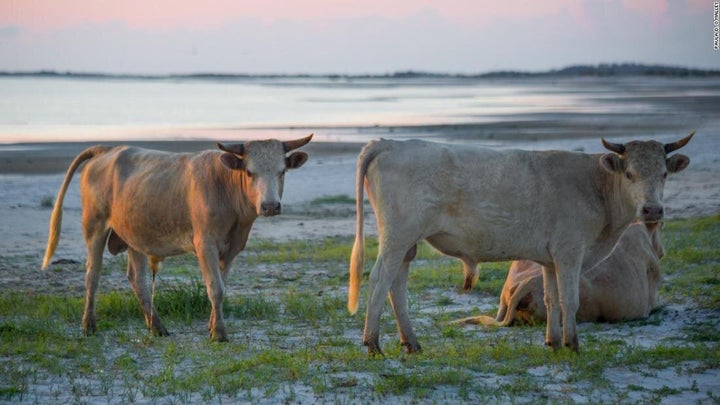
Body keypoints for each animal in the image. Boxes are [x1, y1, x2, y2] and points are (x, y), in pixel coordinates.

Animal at [43, 134, 312, 340]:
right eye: (249, 172)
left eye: (282, 171)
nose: (270, 206)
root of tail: (107, 150)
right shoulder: (205, 244)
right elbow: (215, 287)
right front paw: (219, 334)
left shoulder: (232, 247)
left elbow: (221, 285)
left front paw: (212, 326)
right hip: (94, 226)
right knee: (93, 274)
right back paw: (89, 325)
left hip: (135, 234)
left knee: (137, 279)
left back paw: (157, 326)